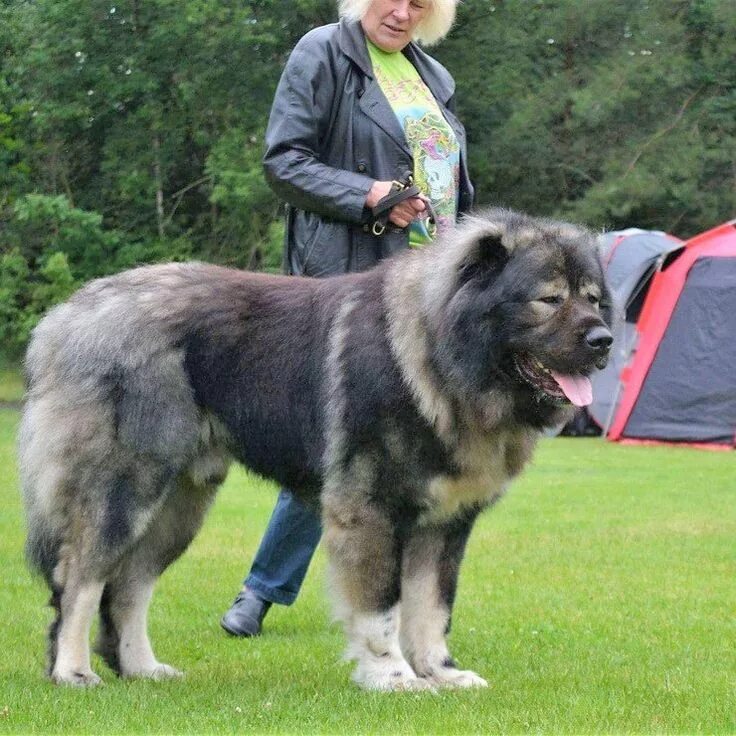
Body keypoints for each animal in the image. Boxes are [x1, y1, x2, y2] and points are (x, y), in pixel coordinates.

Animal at [20, 208, 612, 688]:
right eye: (548, 300)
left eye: (592, 299)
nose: (604, 339)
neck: (441, 357)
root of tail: (65, 317)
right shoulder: (369, 509)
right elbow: (381, 607)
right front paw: (393, 677)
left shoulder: (444, 523)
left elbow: (432, 607)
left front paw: (440, 672)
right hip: (128, 489)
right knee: (80, 578)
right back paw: (73, 671)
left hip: (179, 505)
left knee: (129, 585)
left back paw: (143, 668)